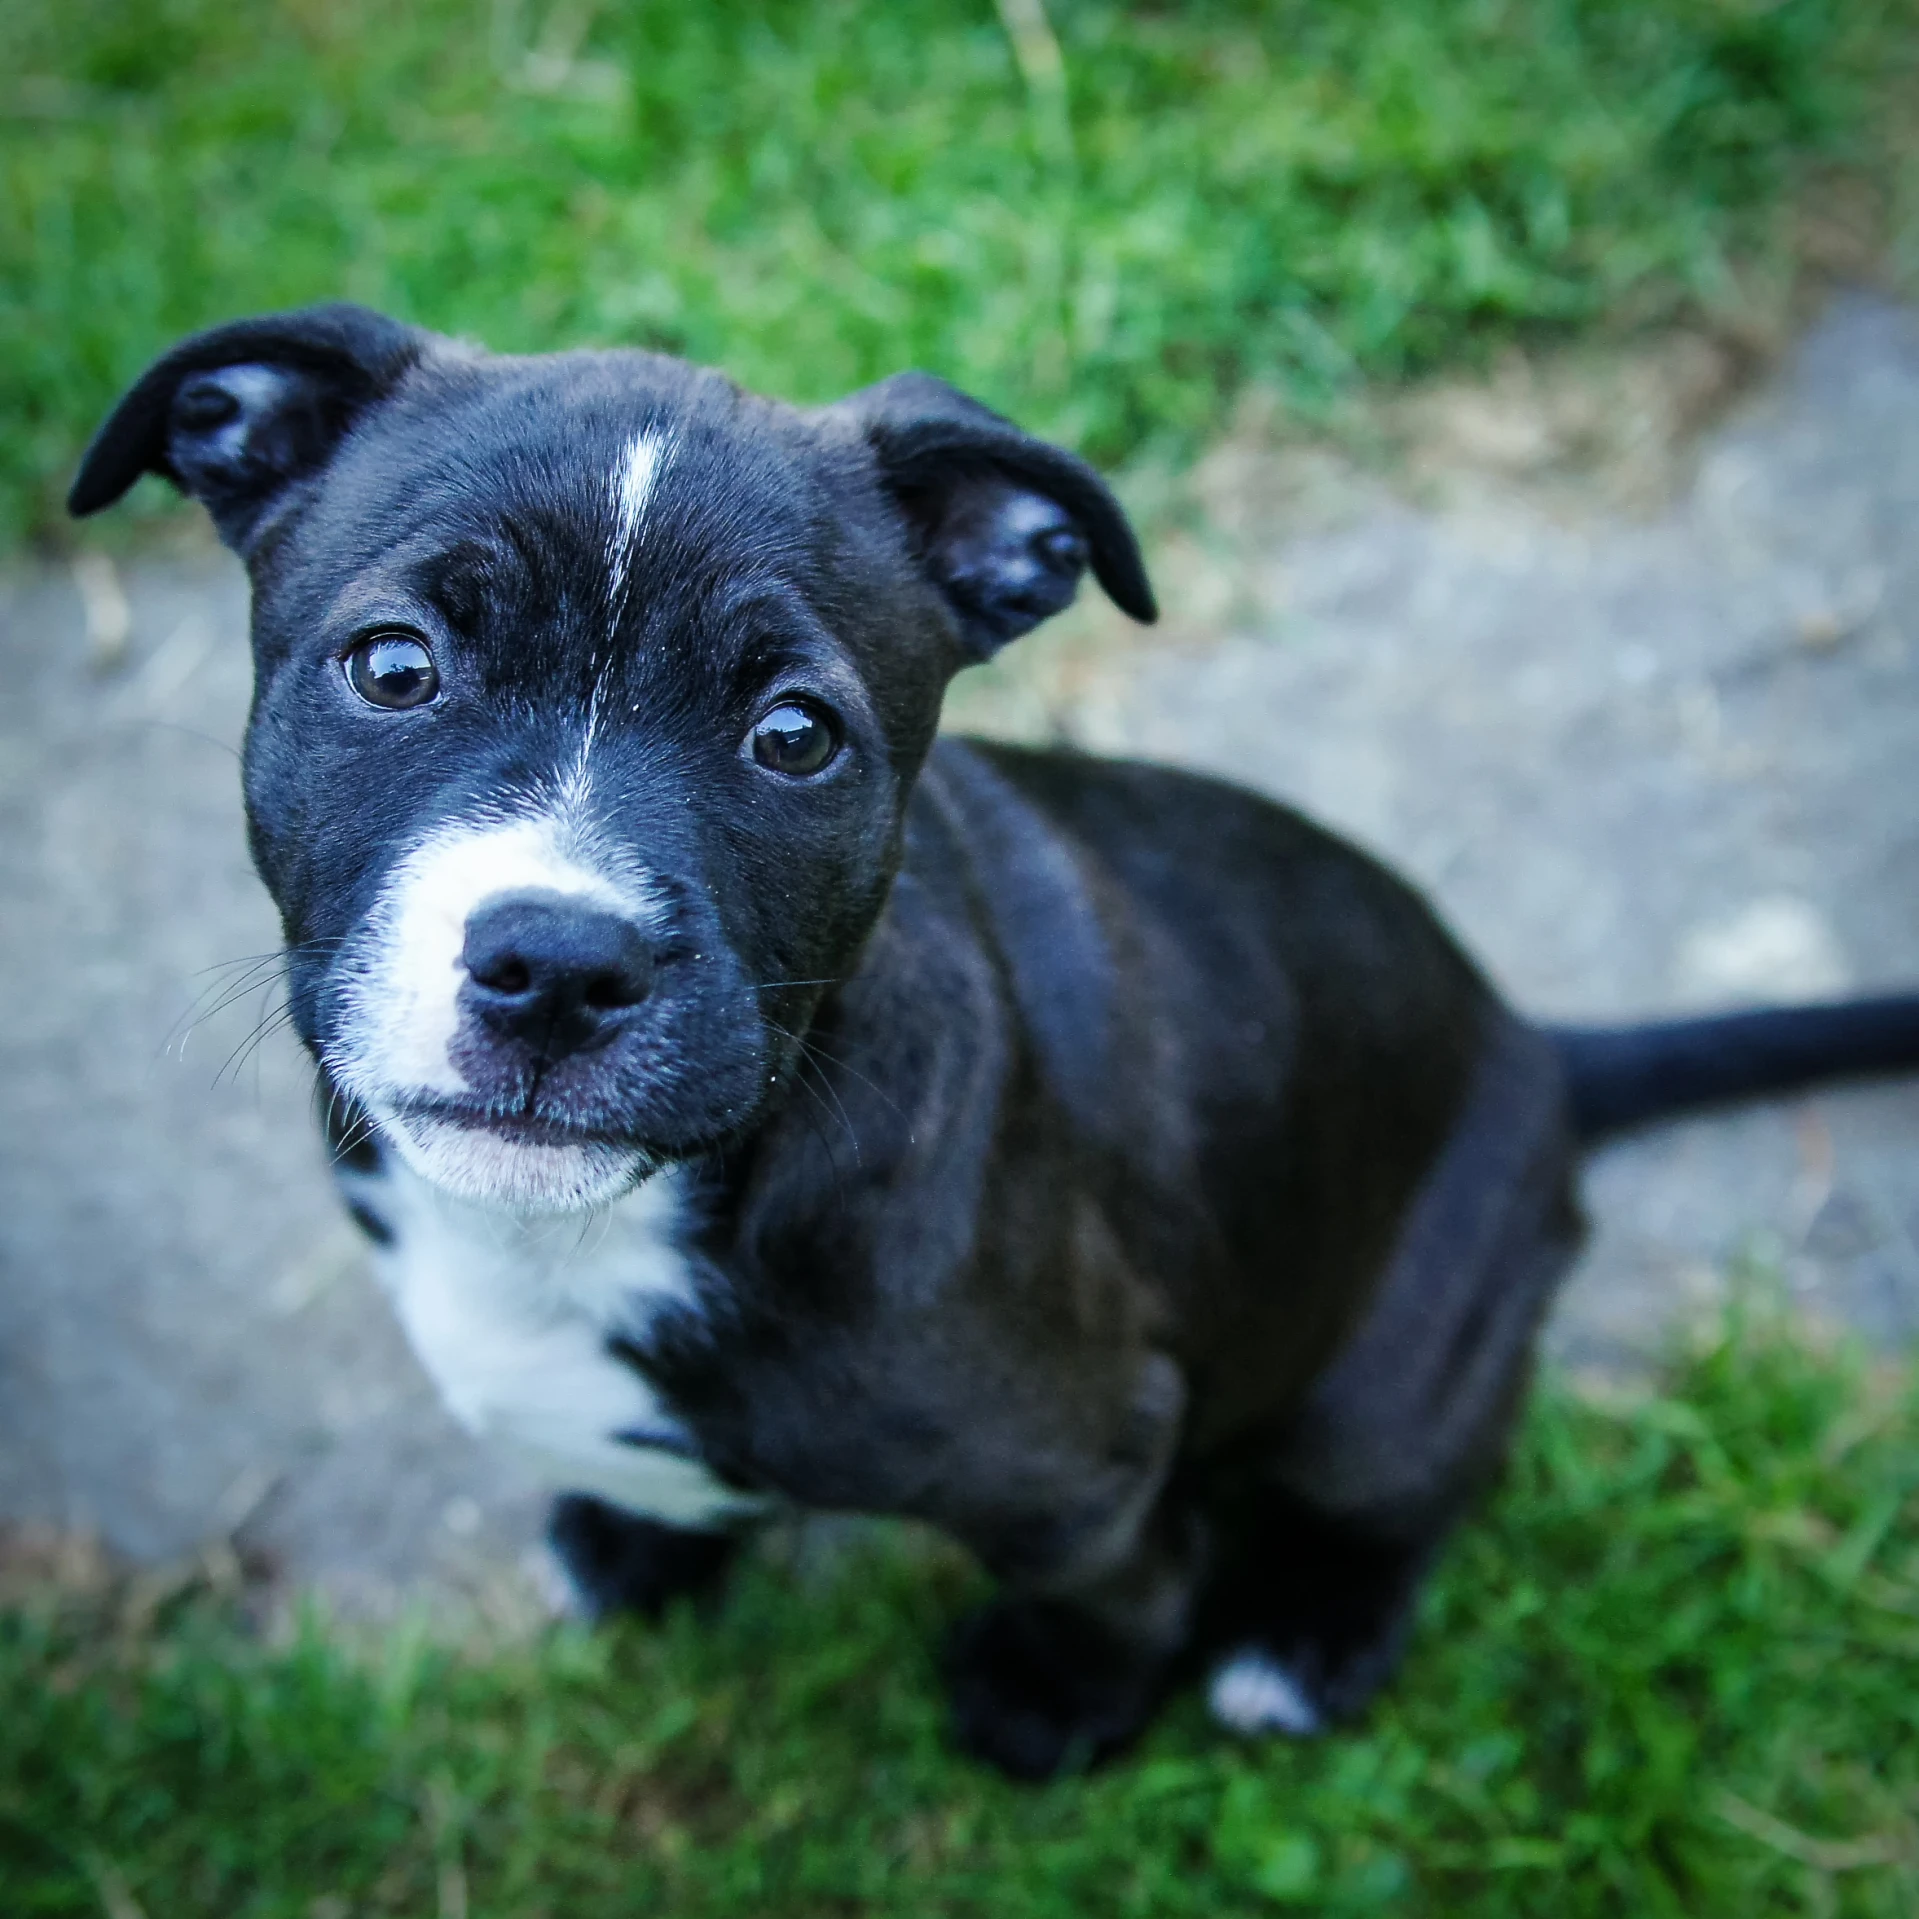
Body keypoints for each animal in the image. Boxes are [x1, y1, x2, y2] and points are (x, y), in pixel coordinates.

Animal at [71, 303, 1919, 1780]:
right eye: (394, 665)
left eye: (793, 734)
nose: (556, 962)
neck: (614, 1227)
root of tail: (1528, 1039)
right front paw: (634, 1536)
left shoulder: (1088, 1457)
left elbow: (1117, 1587)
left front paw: (1057, 1703)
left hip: (1396, 1354)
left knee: (1405, 1489)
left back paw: (1303, 1638)